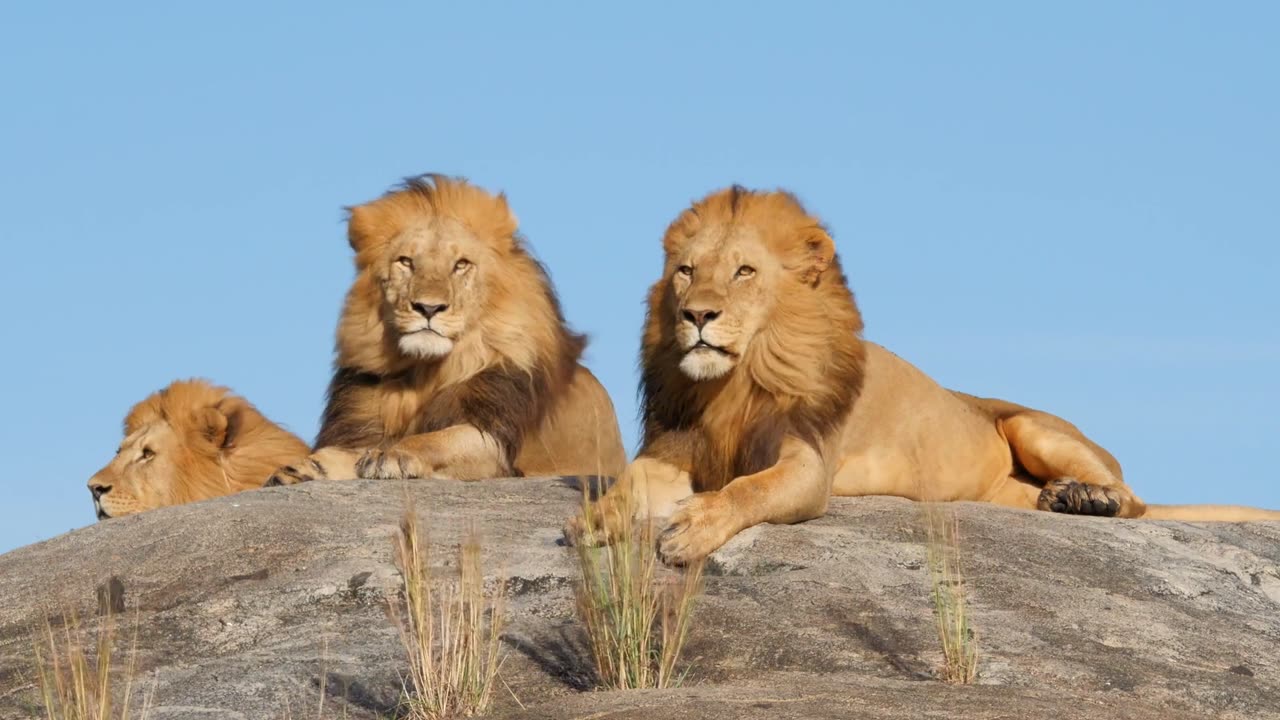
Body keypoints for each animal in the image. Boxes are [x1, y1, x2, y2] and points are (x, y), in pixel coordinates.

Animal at [267, 174, 627, 484]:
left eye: (461, 265)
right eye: (406, 262)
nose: (428, 308)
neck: (423, 373)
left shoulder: (493, 441)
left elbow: (437, 439)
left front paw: (392, 454)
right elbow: (343, 452)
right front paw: (302, 468)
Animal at [576, 185, 1280, 566]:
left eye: (744, 271)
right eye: (687, 272)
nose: (696, 315)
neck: (734, 382)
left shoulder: (808, 464)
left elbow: (750, 489)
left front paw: (694, 528)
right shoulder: (675, 447)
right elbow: (631, 483)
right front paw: (596, 519)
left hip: (1034, 426)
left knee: (1136, 499)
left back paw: (1090, 498)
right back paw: (1061, 500)